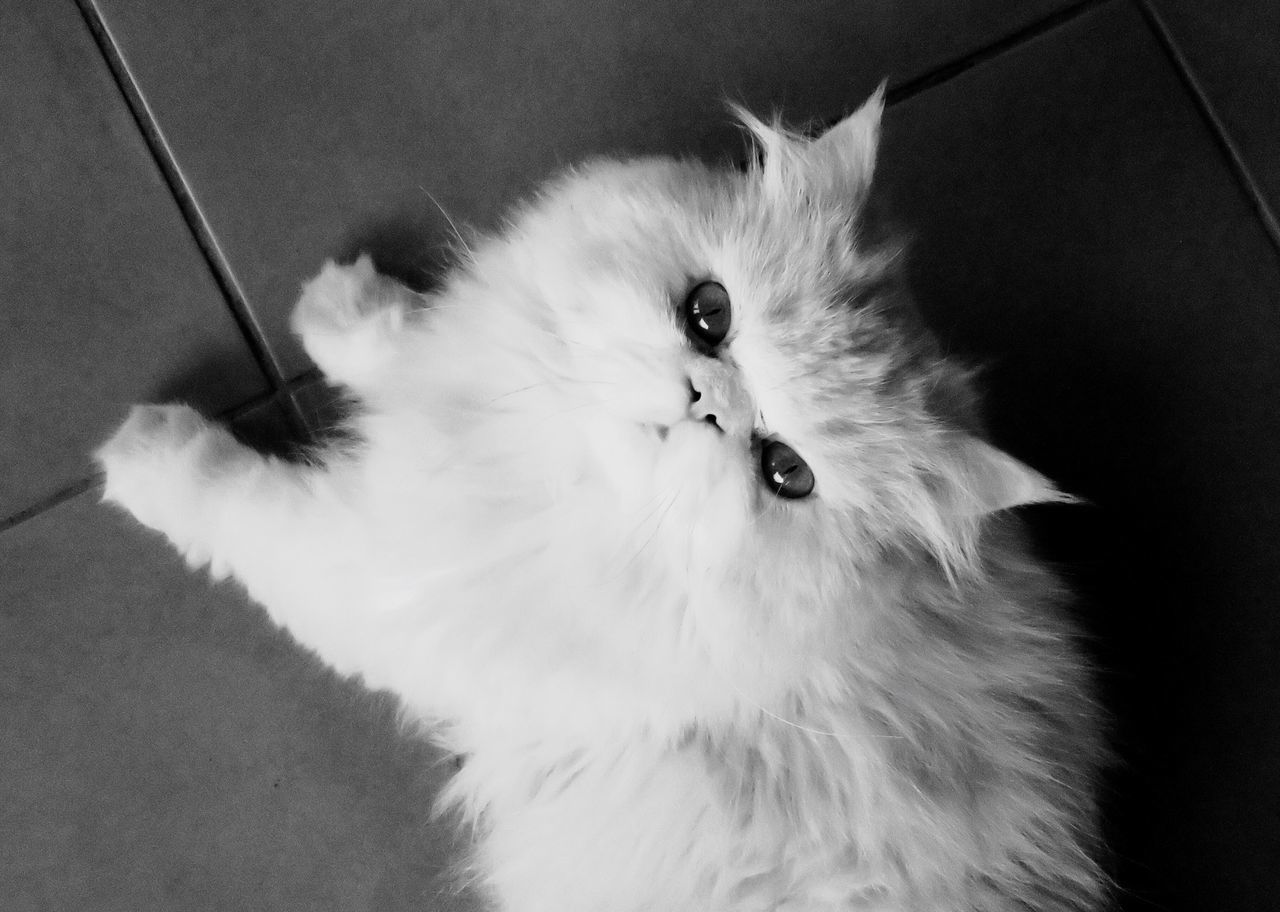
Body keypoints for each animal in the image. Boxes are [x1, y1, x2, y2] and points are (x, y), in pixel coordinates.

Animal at [99, 94, 1105, 912]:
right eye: (710, 315)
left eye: (786, 472)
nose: (708, 402)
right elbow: (409, 343)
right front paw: (345, 309)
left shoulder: (385, 578)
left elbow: (237, 505)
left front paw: (148, 454)